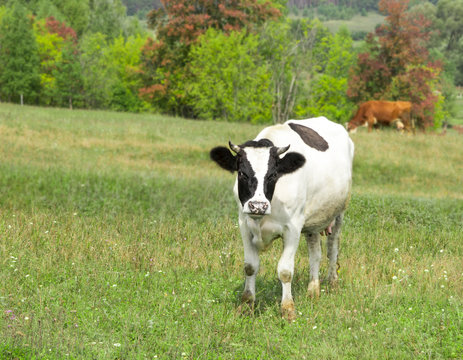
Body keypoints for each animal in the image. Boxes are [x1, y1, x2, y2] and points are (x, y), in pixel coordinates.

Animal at [210, 117, 356, 320]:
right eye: (242, 173)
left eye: (273, 175)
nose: (257, 205)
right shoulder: (244, 224)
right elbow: (250, 266)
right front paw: (246, 304)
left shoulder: (293, 227)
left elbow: (285, 271)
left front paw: (287, 309)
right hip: (312, 221)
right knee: (315, 254)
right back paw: (313, 290)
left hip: (339, 213)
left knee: (332, 249)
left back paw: (332, 283)